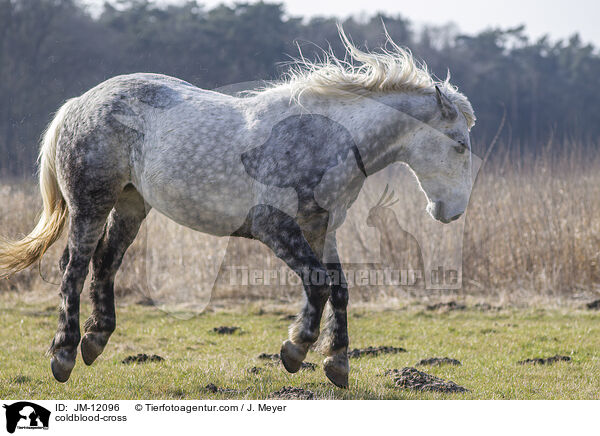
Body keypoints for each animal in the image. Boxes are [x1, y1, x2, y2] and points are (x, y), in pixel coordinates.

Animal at [1, 31, 478, 388]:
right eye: (459, 144)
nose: (451, 212)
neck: (325, 136)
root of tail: (78, 104)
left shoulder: (322, 228)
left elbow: (338, 287)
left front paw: (336, 364)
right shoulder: (273, 226)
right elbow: (318, 283)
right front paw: (295, 350)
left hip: (132, 205)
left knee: (104, 262)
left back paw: (95, 340)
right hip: (91, 204)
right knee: (74, 268)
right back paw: (64, 355)